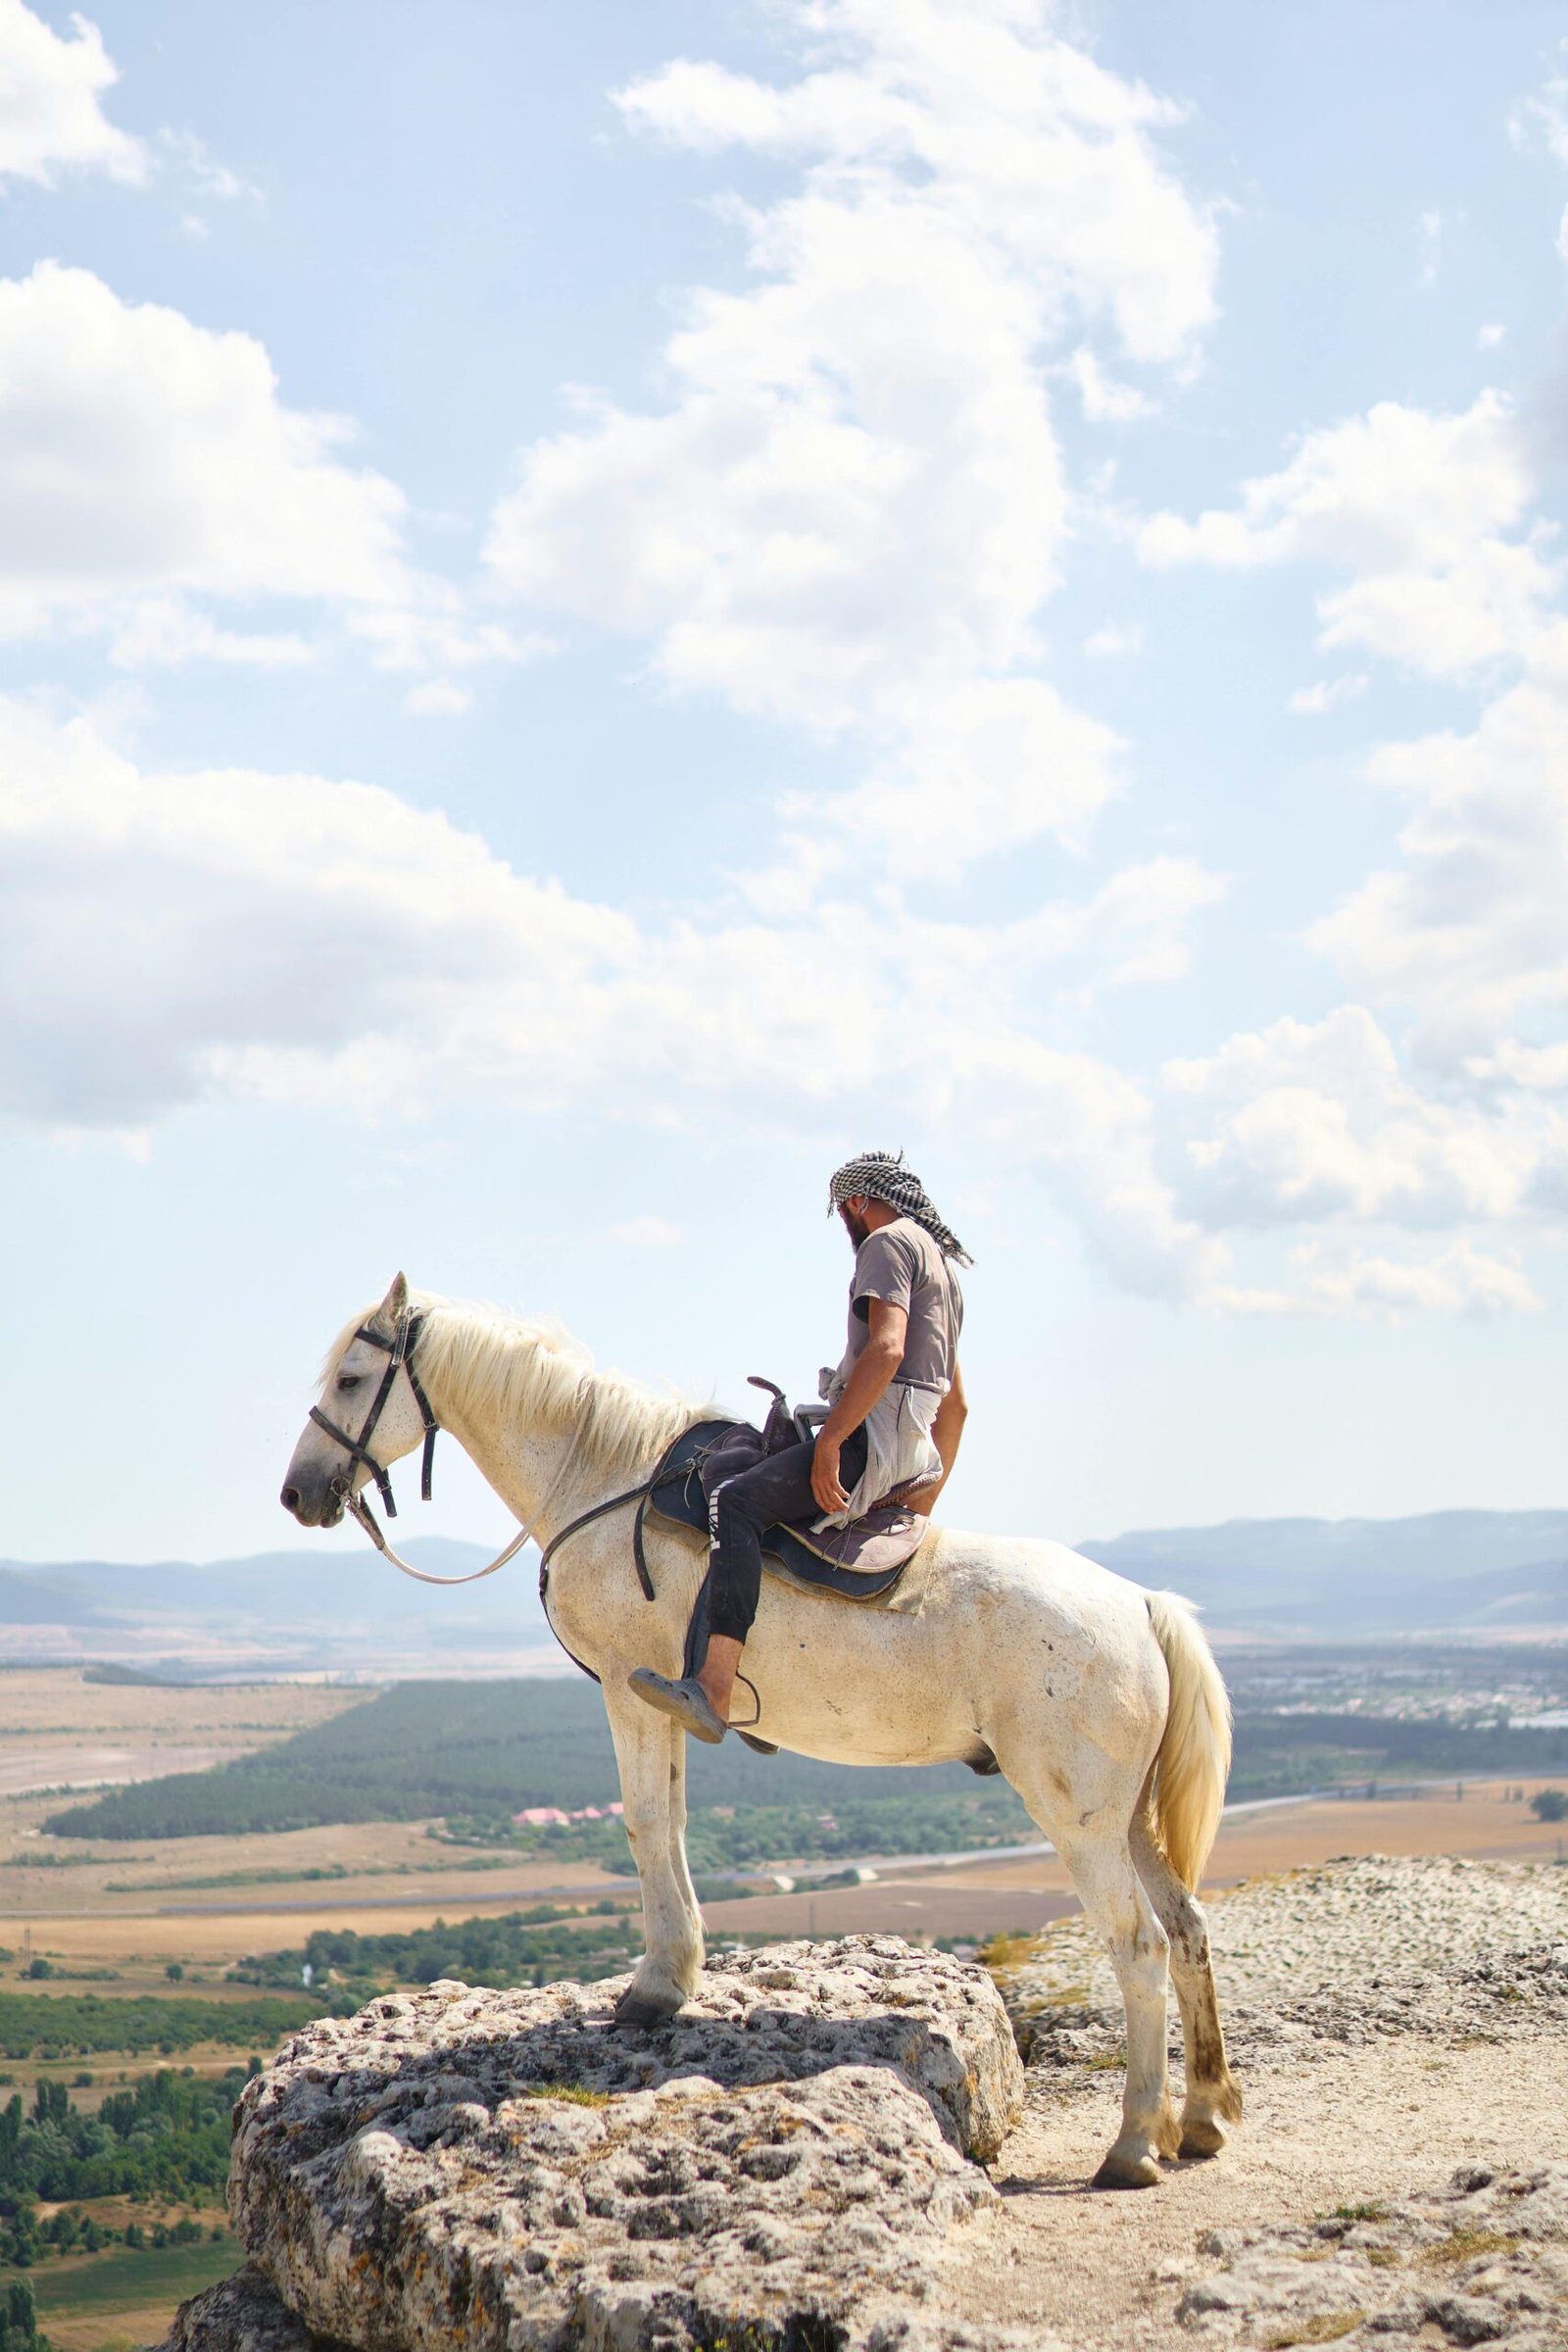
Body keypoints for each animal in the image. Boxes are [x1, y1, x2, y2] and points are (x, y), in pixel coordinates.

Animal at [278, 1279, 1241, 2191]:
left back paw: (1132, 2144)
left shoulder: (628, 1695)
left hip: (1080, 1818)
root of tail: (1138, 1603)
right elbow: (670, 1823)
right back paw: (1199, 2117)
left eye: (352, 1378)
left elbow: (643, 1825)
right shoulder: (662, 1702)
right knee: (1188, 1929)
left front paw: (653, 1991)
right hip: (1128, 1818)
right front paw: (675, 1974)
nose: (297, 1493)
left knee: (1141, 1946)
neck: (597, 1477)